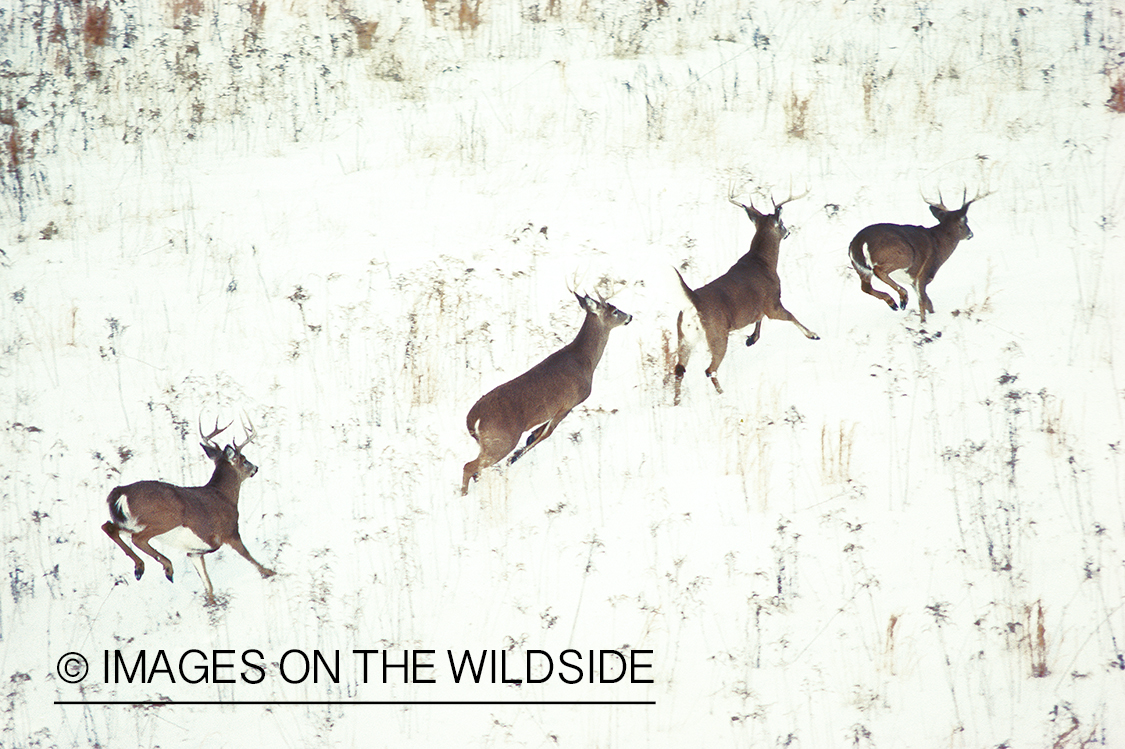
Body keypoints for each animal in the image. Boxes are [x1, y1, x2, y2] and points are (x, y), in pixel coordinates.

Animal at [101, 418, 276, 604]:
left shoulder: (194, 552)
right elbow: (249, 556)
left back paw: (141, 568)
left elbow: (208, 585)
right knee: (138, 539)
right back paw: (165, 567)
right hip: (165, 518)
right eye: (243, 459)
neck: (224, 496)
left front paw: (212, 605)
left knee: (109, 527)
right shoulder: (229, 531)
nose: (255, 468)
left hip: (131, 522)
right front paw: (271, 572)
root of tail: (121, 491)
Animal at [462, 291, 632, 495]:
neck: (584, 360)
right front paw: (514, 457)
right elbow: (546, 433)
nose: (630, 316)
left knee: (475, 467)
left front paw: (525, 443)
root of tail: (472, 418)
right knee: (468, 466)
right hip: (501, 440)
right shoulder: (568, 404)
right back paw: (464, 494)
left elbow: (539, 432)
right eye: (614, 311)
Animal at [673, 189, 819, 403]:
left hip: (683, 337)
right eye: (782, 223)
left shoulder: (759, 306)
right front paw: (813, 334)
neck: (763, 262)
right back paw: (723, 395)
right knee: (709, 369)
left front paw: (751, 339)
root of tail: (693, 301)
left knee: (679, 369)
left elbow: (758, 319)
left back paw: (676, 402)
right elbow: (790, 316)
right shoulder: (772, 302)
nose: (788, 232)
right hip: (717, 335)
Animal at [848, 190, 989, 323]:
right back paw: (903, 297)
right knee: (878, 270)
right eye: (965, 220)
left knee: (865, 286)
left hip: (861, 268)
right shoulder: (923, 273)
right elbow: (923, 301)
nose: (971, 234)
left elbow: (928, 303)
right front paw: (923, 322)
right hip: (903, 255)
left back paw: (893, 303)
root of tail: (859, 241)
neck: (938, 243)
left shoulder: (913, 280)